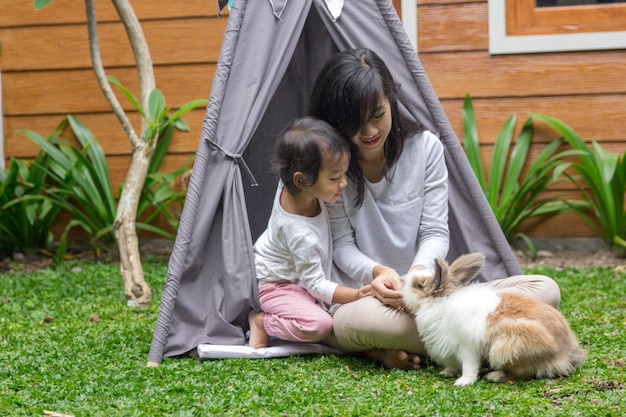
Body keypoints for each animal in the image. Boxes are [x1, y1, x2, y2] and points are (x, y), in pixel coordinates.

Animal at [402, 252, 584, 386]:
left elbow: (469, 366)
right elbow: (452, 364)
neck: (440, 304)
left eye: (418, 286)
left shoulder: (467, 347)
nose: (403, 282)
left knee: (524, 372)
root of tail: (565, 354)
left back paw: (494, 376)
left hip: (508, 345)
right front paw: (446, 373)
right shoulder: (448, 346)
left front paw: (463, 382)